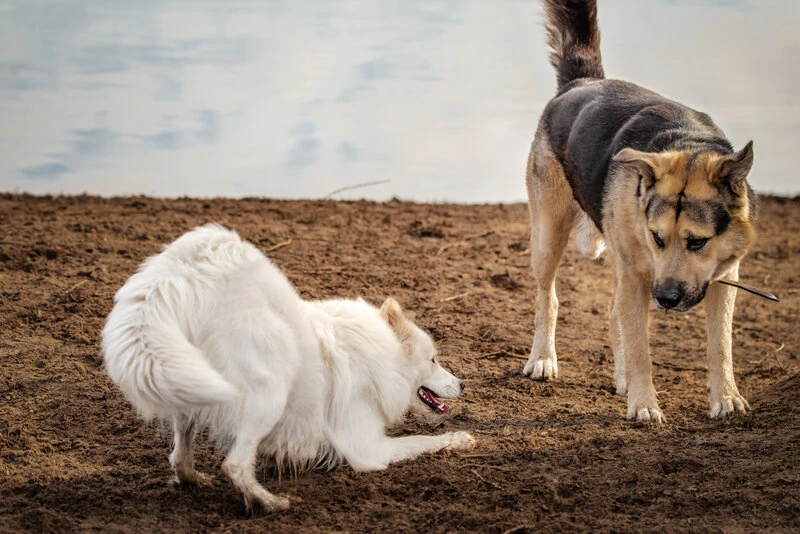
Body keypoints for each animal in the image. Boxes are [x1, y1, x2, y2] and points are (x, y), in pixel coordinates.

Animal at [100, 224, 476, 512]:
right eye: (433, 359)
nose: (463, 384)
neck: (381, 354)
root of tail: (185, 271)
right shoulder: (369, 450)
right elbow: (423, 441)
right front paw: (460, 439)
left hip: (189, 383)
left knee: (179, 456)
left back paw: (195, 480)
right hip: (269, 392)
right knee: (234, 465)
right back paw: (270, 503)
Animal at [524, 0, 756, 426]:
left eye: (698, 242)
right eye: (657, 237)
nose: (664, 298)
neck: (687, 142)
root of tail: (581, 83)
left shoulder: (723, 277)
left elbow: (721, 345)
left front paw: (727, 398)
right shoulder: (639, 276)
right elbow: (640, 348)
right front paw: (645, 403)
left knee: (614, 313)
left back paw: (621, 377)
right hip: (548, 237)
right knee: (549, 299)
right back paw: (543, 359)